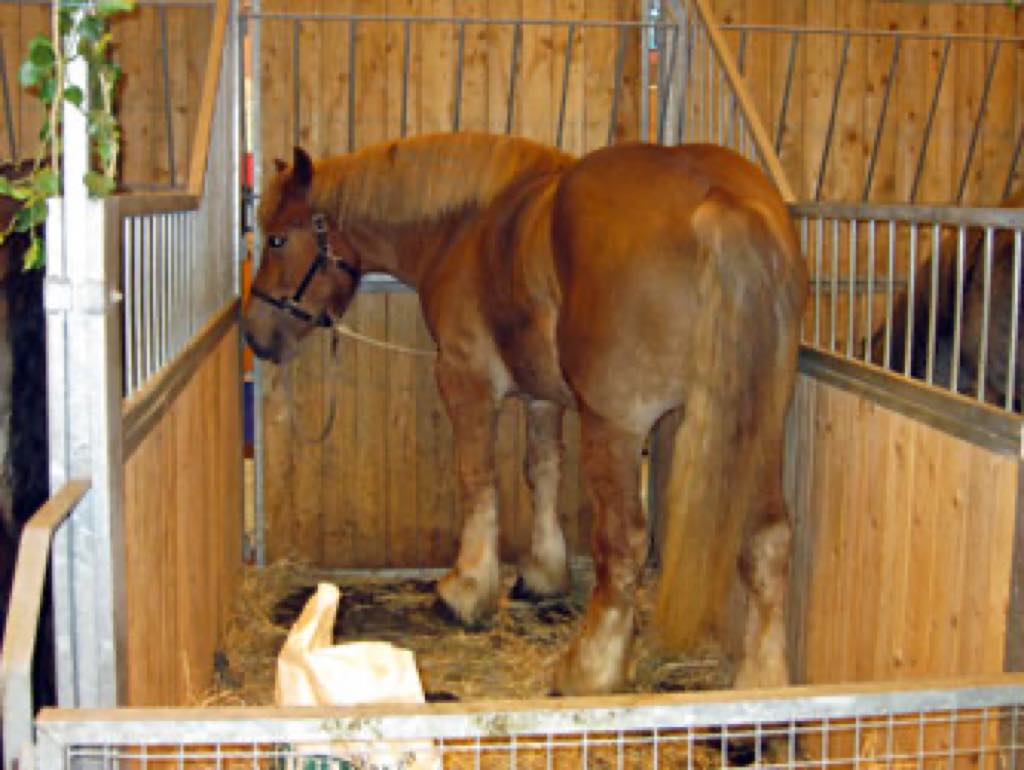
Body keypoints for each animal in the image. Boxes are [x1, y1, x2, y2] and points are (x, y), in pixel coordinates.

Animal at [242, 133, 808, 695]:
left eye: (276, 240)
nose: (255, 334)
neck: (465, 228)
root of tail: (718, 201)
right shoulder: (543, 397)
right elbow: (543, 472)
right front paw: (543, 573)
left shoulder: (465, 379)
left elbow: (478, 479)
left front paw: (466, 589)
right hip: (758, 425)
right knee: (768, 539)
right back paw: (762, 682)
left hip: (617, 428)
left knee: (623, 542)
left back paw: (589, 670)